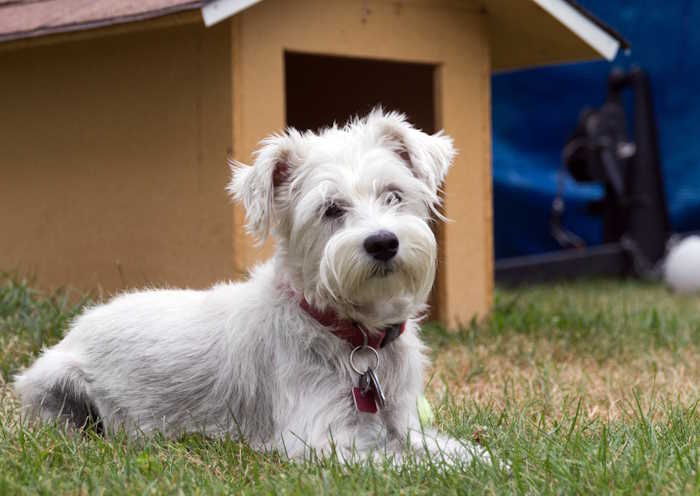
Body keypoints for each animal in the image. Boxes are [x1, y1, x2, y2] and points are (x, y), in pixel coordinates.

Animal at [15, 108, 486, 464]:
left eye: (393, 194)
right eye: (331, 209)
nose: (384, 242)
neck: (349, 332)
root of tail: (78, 326)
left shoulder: (404, 423)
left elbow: (458, 454)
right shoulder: (322, 438)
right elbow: (400, 464)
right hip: (56, 382)